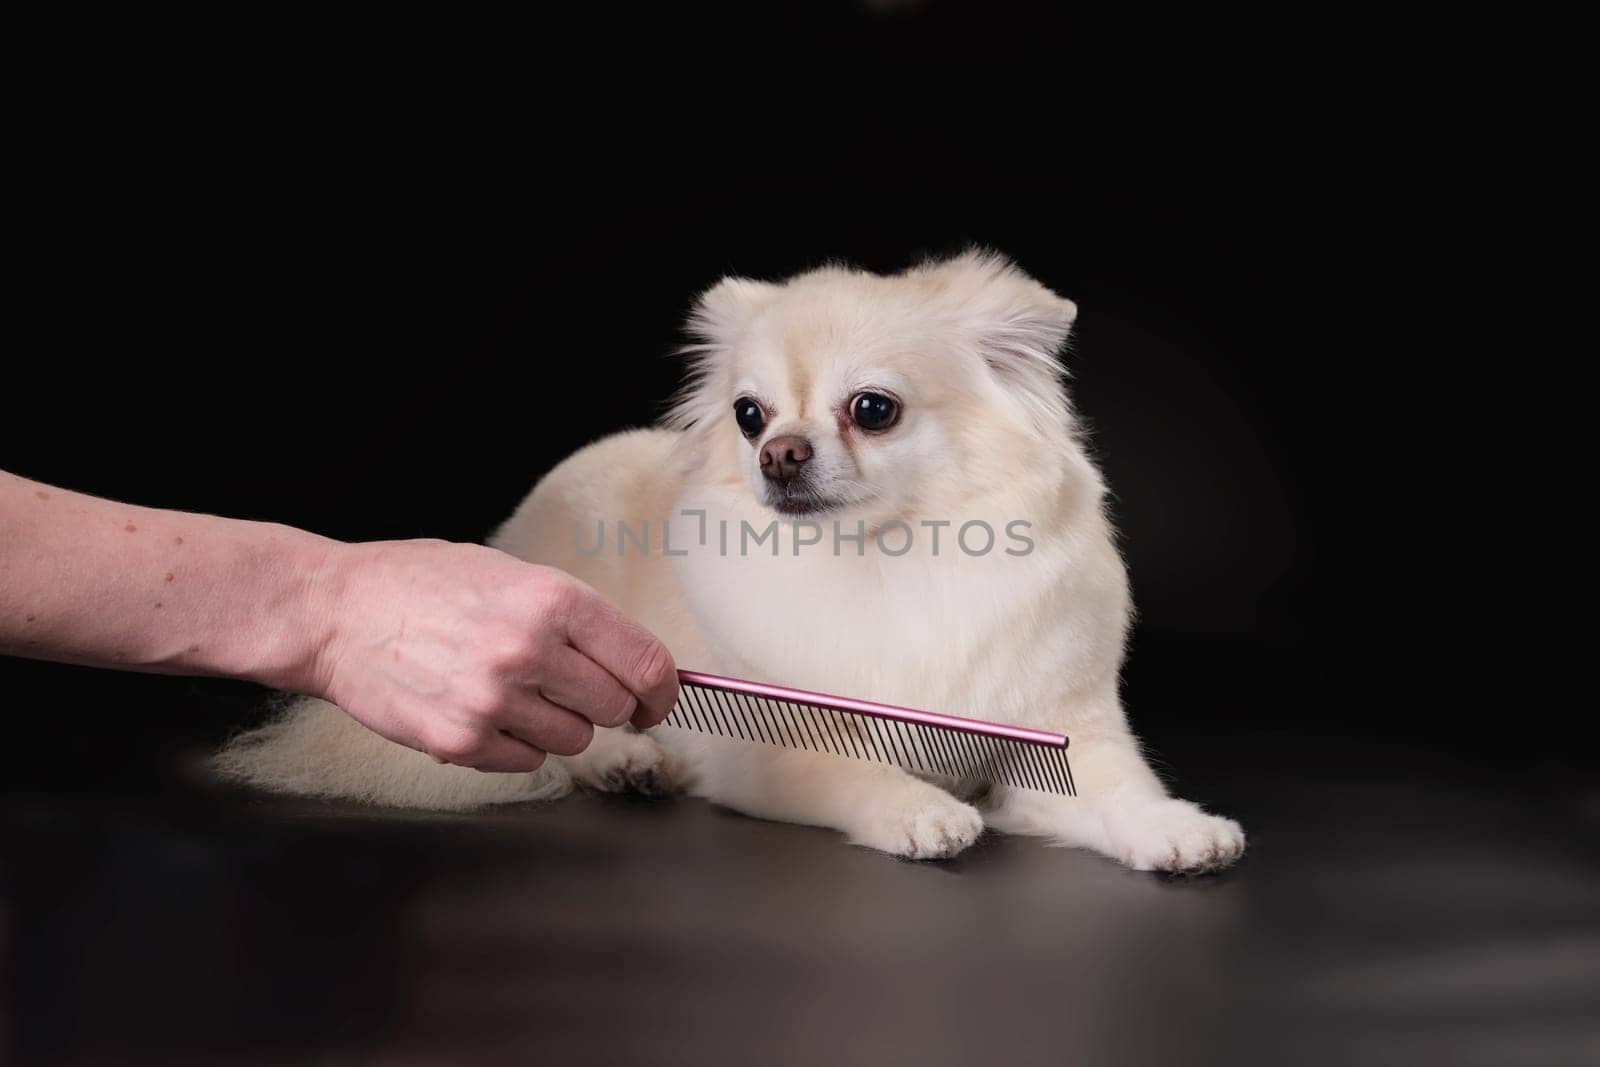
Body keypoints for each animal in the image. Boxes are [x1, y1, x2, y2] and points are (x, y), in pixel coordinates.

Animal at [212, 252, 1241, 876]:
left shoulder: (1059, 740)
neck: (891, 557)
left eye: (873, 410)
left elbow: (1121, 791)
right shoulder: (774, 753)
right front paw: (919, 809)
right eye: (750, 415)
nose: (777, 452)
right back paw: (629, 759)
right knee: (575, 737)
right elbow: (851, 773)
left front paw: (1178, 828)